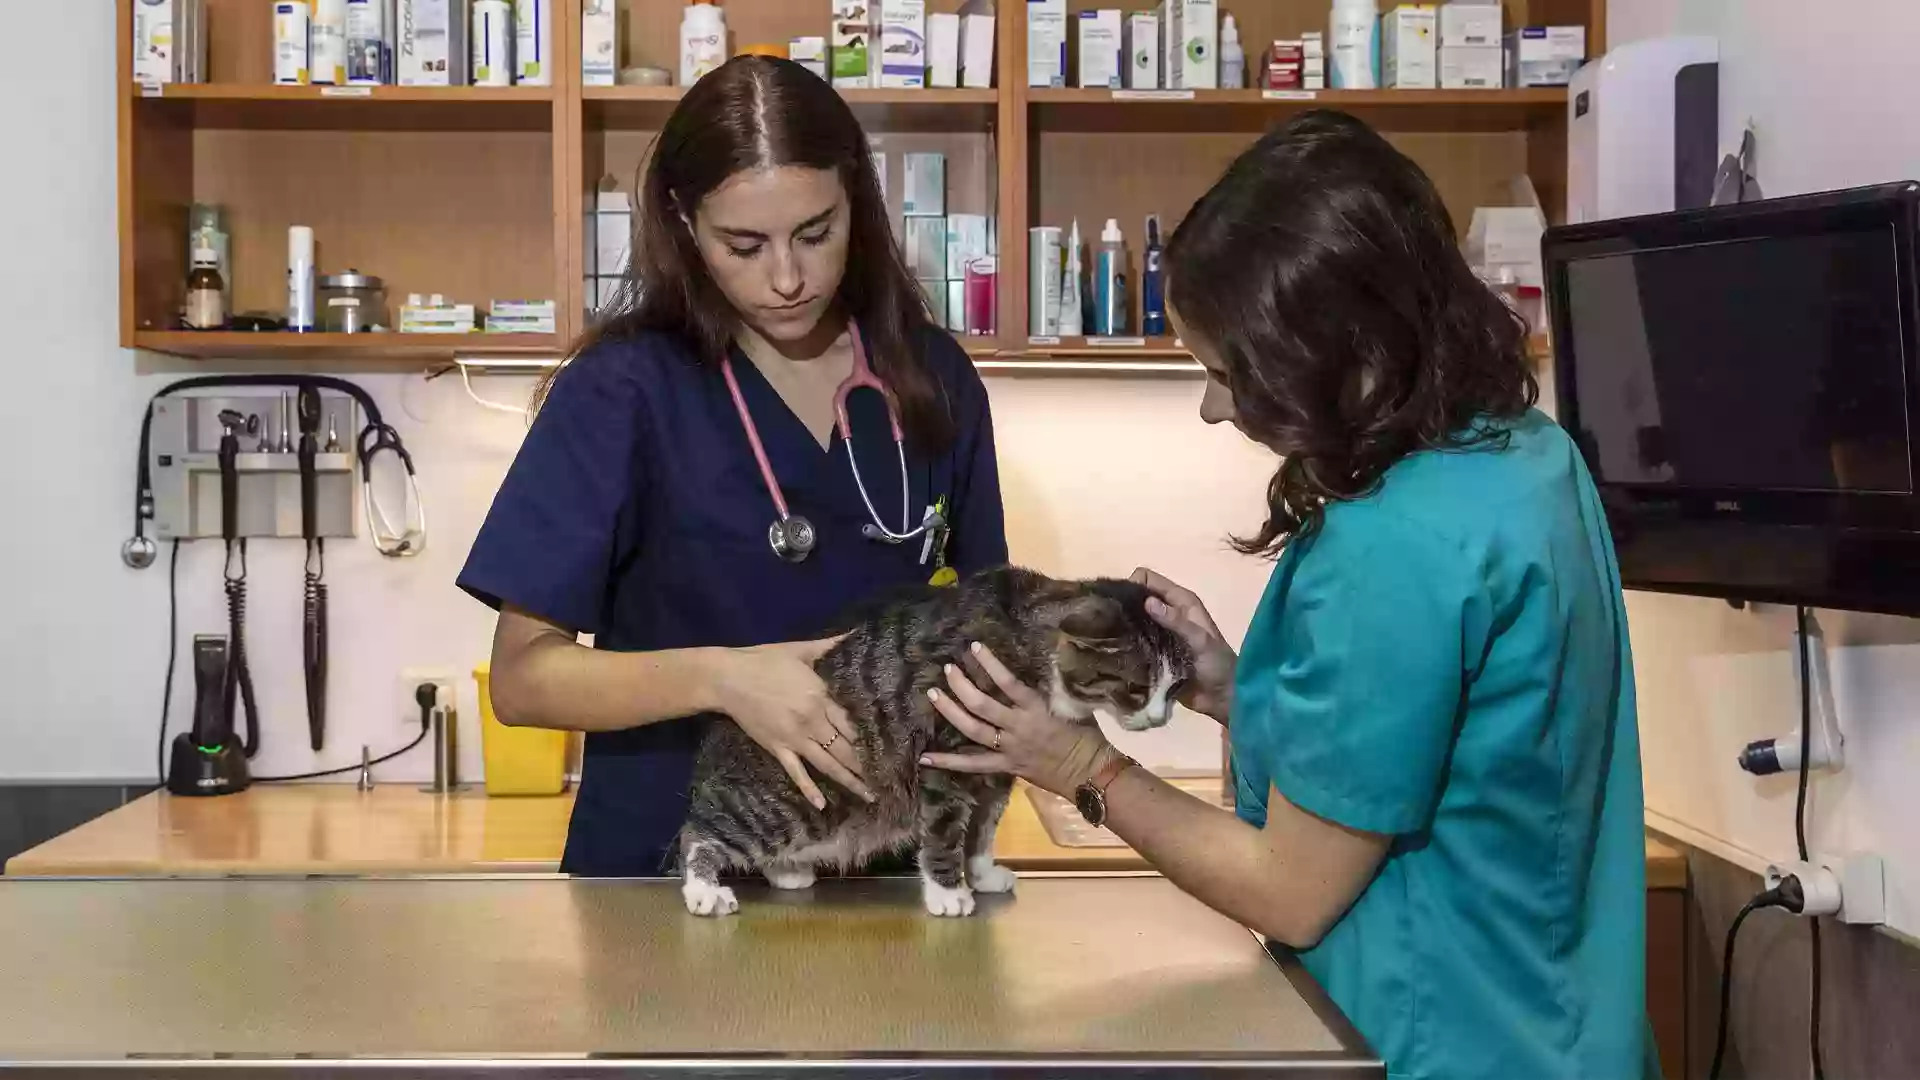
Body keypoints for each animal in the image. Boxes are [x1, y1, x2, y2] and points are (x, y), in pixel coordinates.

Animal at [675, 564, 1182, 914]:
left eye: (1174, 689)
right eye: (1136, 688)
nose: (1158, 719)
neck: (1025, 641)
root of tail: (719, 733)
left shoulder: (998, 770)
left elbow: (984, 828)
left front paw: (981, 872)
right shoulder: (946, 755)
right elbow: (945, 828)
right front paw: (948, 891)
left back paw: (787, 872)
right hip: (793, 805)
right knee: (700, 831)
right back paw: (705, 889)